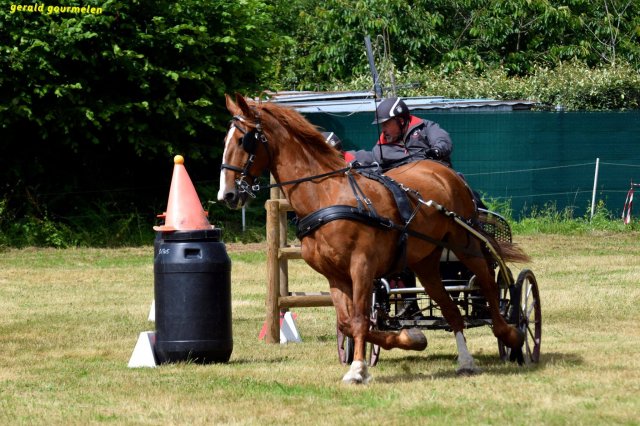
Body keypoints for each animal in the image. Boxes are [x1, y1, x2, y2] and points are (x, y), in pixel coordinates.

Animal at [218, 93, 530, 384]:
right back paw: (465, 360)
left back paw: (512, 333)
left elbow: (359, 320)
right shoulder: (335, 276)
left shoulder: (362, 267)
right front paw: (410, 338)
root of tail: (442, 171)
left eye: (244, 141)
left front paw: (357, 369)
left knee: (489, 284)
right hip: (426, 262)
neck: (327, 195)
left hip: (465, 243)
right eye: (226, 139)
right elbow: (349, 324)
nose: (227, 195)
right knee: (451, 309)